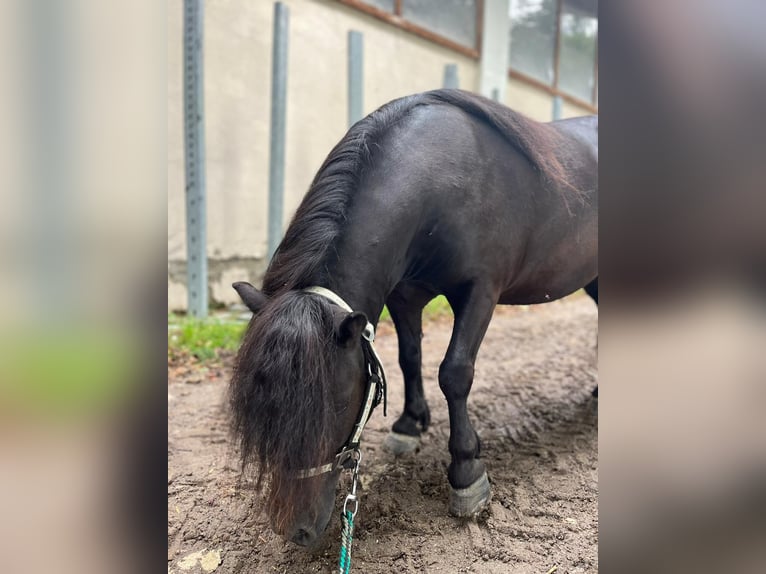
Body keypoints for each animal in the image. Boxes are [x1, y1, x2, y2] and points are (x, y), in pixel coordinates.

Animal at [230, 90, 600, 548]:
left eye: (336, 404)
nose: (295, 530)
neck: (443, 183)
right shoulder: (404, 295)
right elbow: (410, 357)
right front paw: (410, 423)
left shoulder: (480, 290)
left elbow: (454, 373)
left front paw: (466, 471)